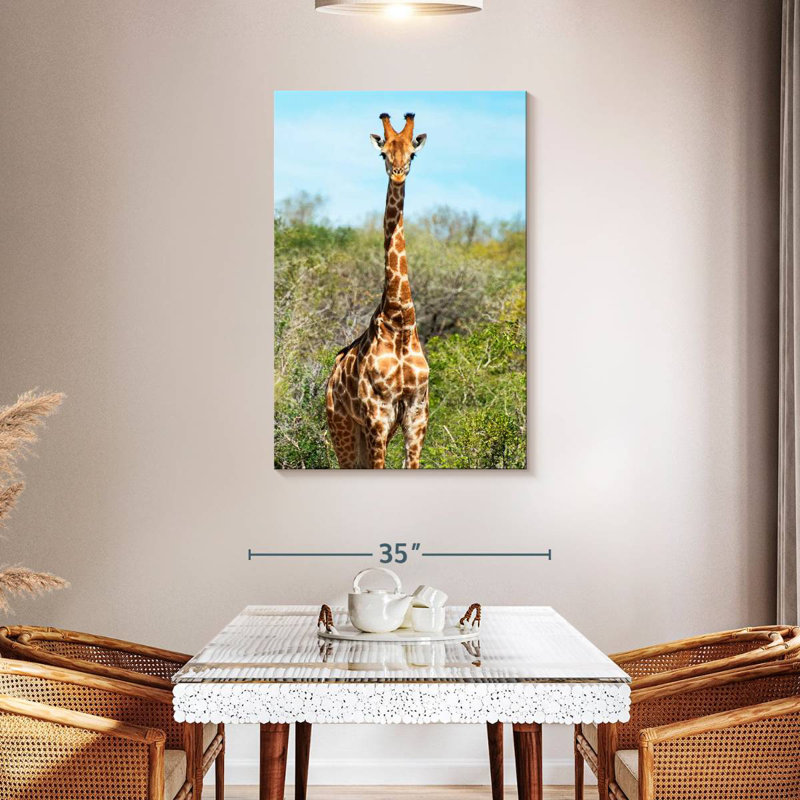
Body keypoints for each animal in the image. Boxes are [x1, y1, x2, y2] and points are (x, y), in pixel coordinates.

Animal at [326, 112, 429, 469]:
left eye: (412, 154)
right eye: (383, 153)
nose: (398, 174)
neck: (400, 320)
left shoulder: (416, 415)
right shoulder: (377, 416)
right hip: (342, 427)